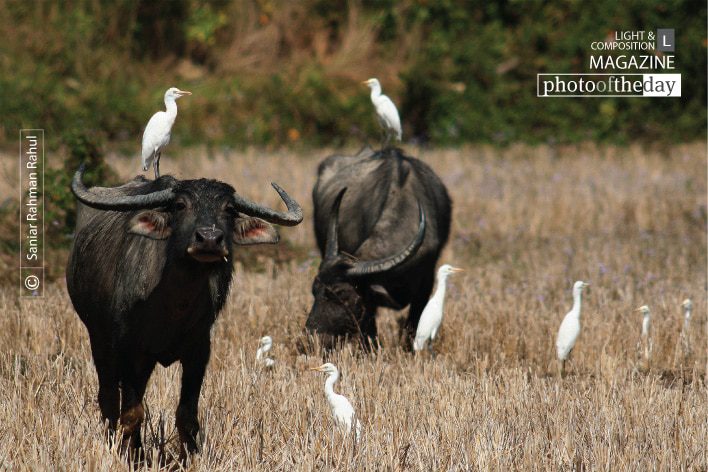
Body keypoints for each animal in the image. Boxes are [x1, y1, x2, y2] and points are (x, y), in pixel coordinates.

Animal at [66, 165, 302, 460]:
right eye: (180, 205)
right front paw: (132, 458)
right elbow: (131, 413)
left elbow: (186, 415)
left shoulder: (198, 353)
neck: (173, 308)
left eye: (229, 209)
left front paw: (187, 457)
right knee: (108, 398)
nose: (209, 239)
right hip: (99, 340)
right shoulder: (131, 351)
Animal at [306, 146, 451, 349]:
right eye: (314, 290)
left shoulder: (426, 283)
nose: (313, 337)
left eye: (341, 295)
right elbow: (369, 331)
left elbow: (413, 326)